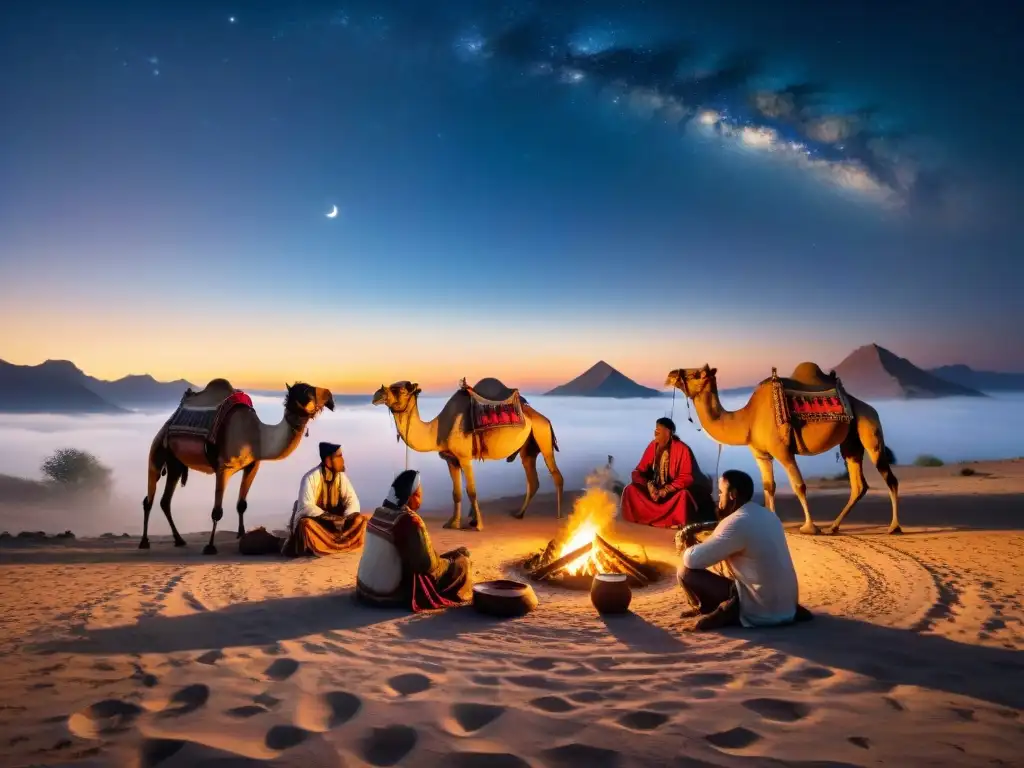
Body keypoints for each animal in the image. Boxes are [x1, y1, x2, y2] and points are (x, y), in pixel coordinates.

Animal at [142, 382, 333, 557]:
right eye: (308, 391)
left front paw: (241, 534)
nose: (330, 397)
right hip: (157, 450)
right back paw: (144, 542)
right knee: (149, 499)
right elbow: (217, 511)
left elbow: (241, 505)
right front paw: (210, 546)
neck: (257, 436)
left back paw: (179, 540)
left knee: (165, 501)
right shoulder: (223, 468)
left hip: (175, 463)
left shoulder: (253, 465)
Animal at [372, 380, 565, 536]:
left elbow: (471, 491)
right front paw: (453, 523)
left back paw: (558, 515)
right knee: (533, 480)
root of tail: (545, 419)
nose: (377, 394)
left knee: (556, 475)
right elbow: (456, 493)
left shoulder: (465, 458)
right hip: (528, 447)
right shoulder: (451, 460)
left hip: (543, 436)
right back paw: (519, 514)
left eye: (400, 390)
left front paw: (478, 525)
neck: (437, 430)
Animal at [663, 364, 897, 536]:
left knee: (889, 477)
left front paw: (810, 527)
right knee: (859, 484)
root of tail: (864, 405)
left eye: (696, 374)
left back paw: (894, 527)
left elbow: (799, 485)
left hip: (870, 427)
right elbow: (769, 486)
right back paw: (834, 526)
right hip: (851, 441)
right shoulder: (760, 453)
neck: (748, 419)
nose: (671, 374)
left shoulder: (783, 450)